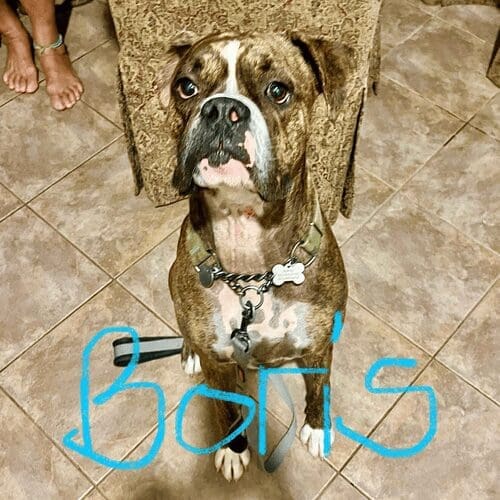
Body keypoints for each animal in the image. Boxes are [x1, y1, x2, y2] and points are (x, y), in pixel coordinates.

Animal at [157, 31, 349, 481]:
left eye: (278, 90)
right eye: (186, 87)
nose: (221, 110)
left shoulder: (321, 342)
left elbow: (320, 385)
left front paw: (318, 427)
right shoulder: (220, 363)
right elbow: (227, 409)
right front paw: (233, 449)